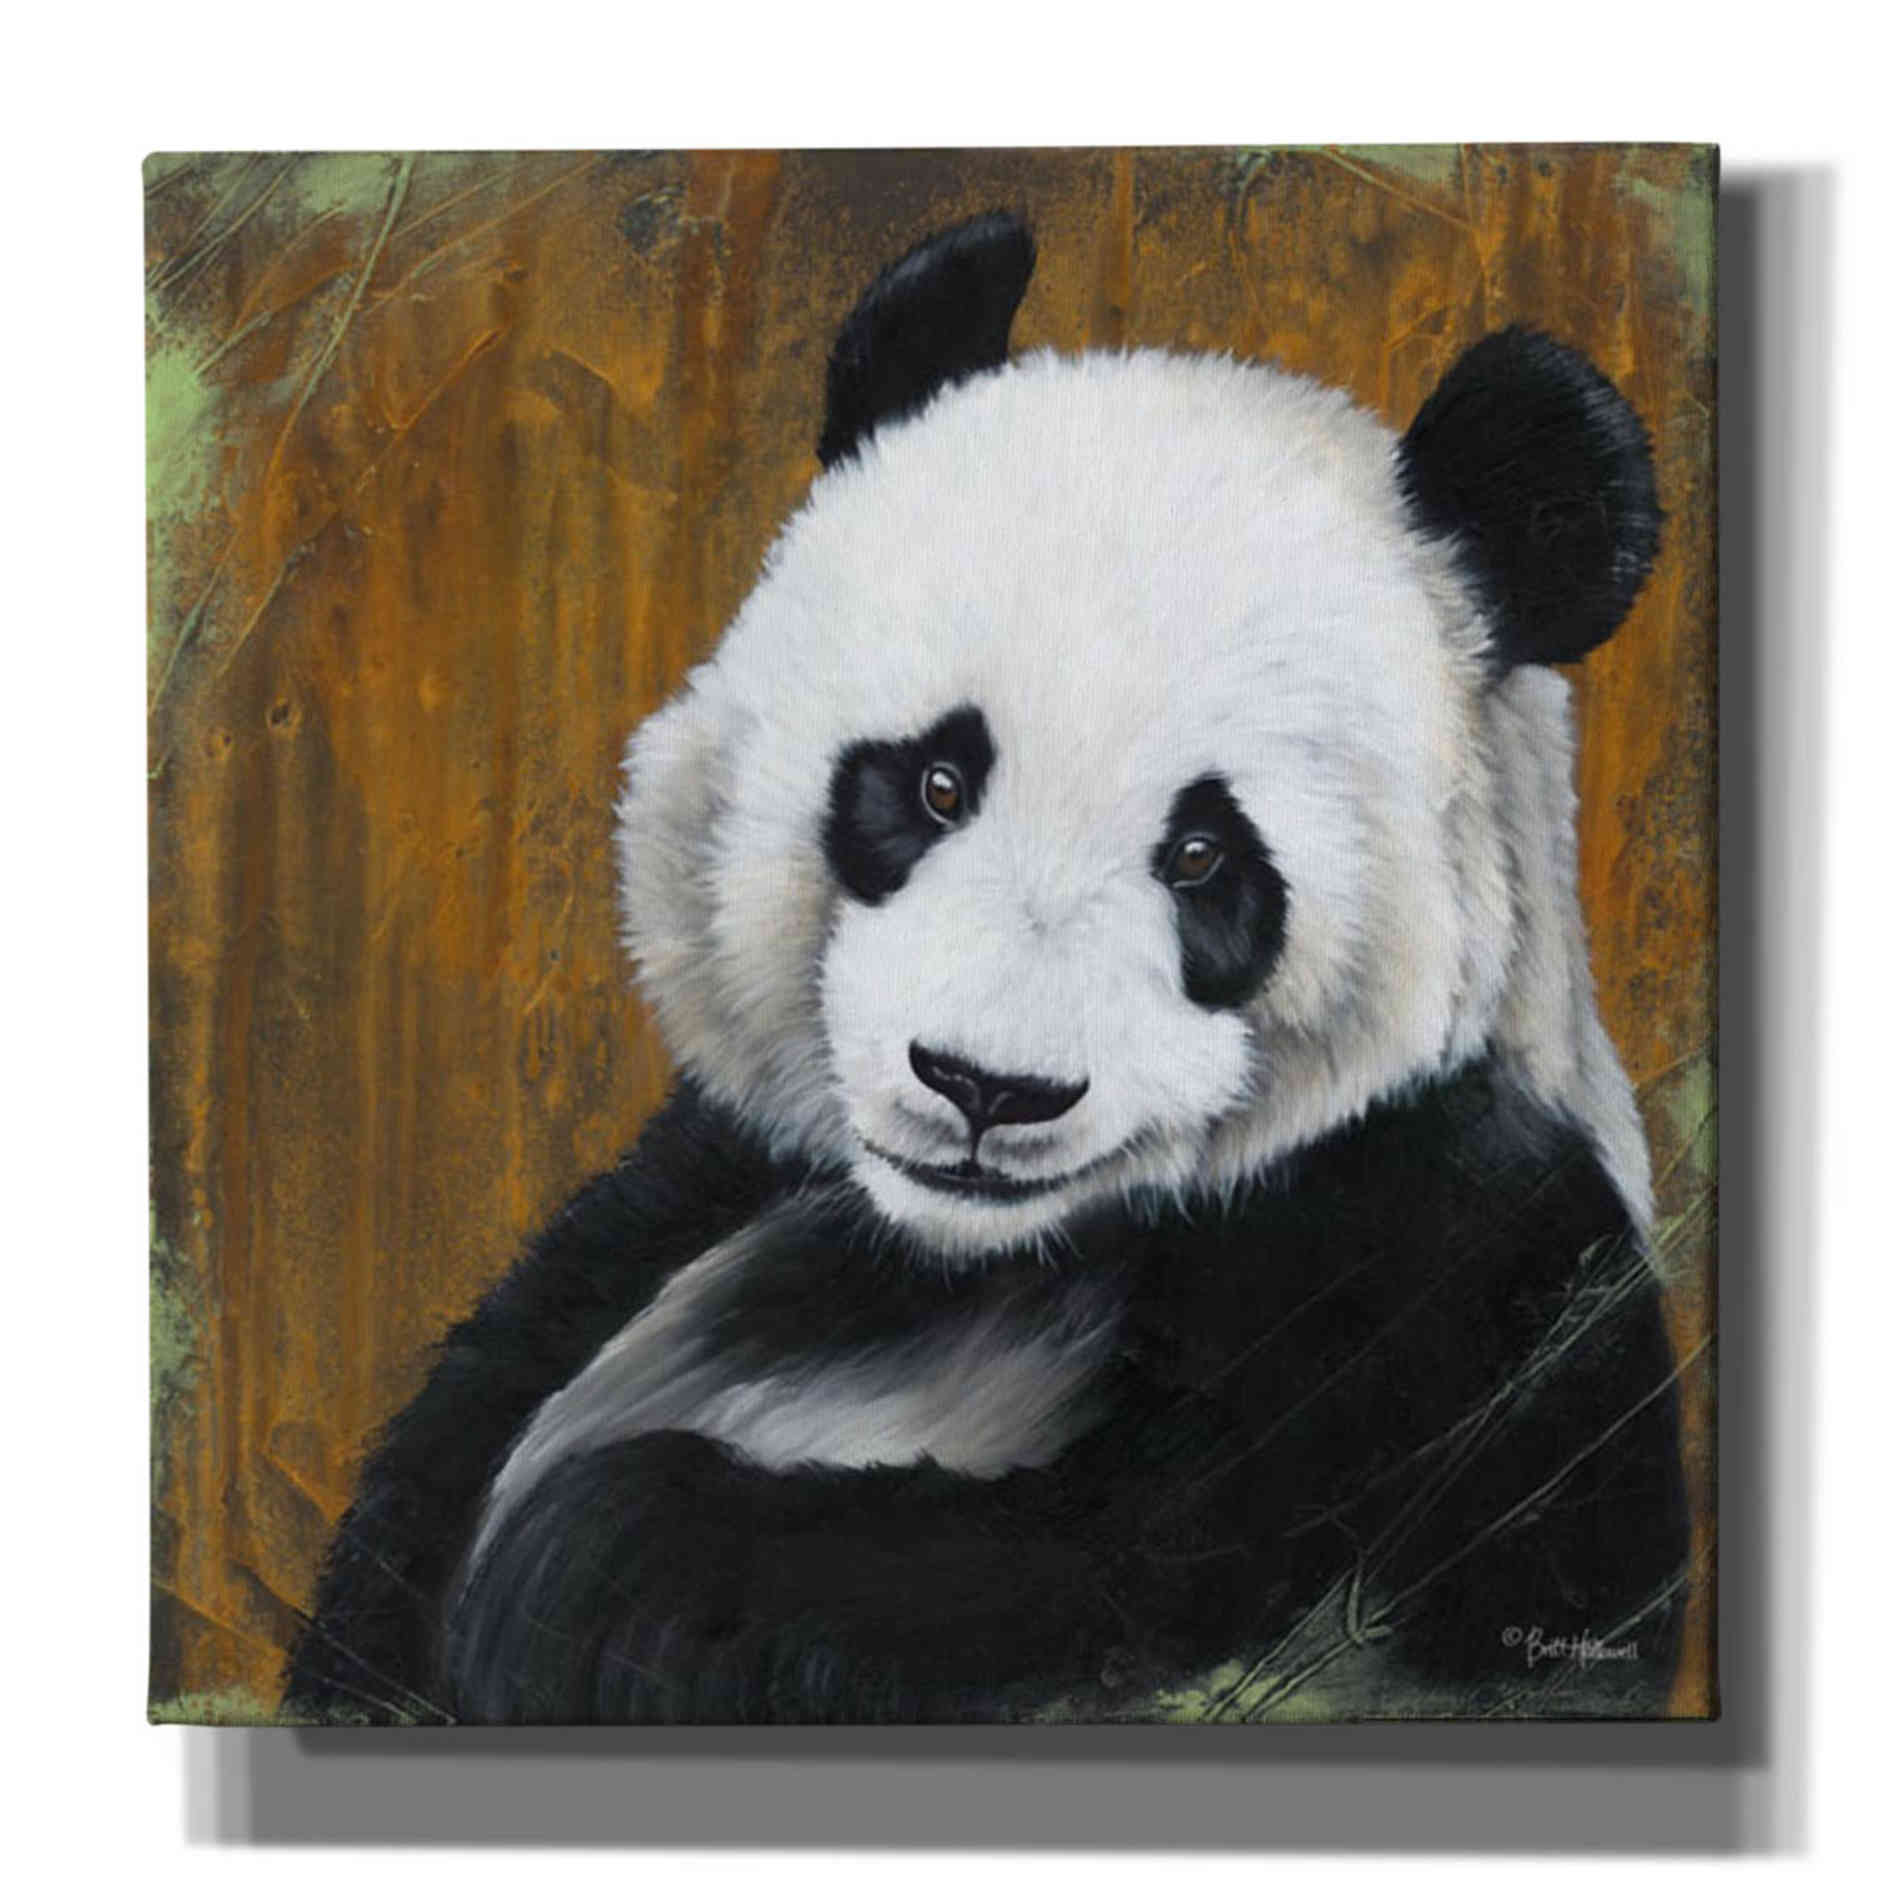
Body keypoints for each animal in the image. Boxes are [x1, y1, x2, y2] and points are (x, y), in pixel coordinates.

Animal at [284, 213, 1688, 1724]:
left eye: (1204, 856)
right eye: (936, 781)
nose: (984, 1088)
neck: (975, 1255)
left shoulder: (1433, 1282)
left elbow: (1099, 1584)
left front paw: (584, 1574)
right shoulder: (717, 1178)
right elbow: (480, 1405)